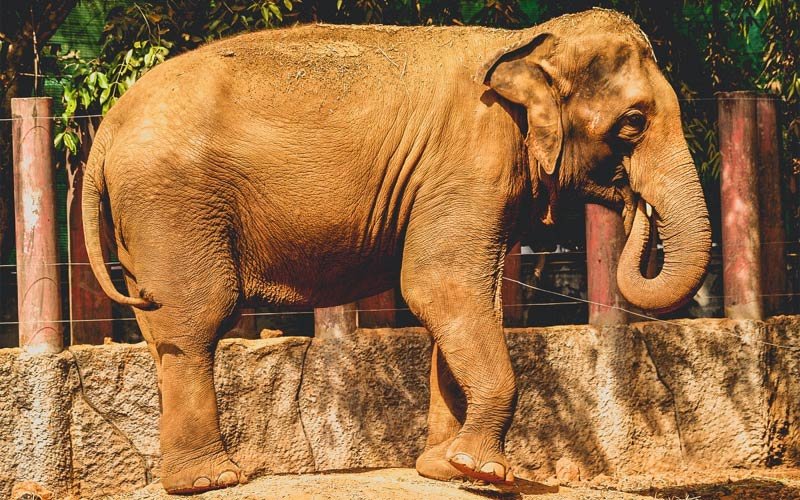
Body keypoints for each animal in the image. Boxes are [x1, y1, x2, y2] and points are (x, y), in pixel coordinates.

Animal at [82, 8, 711, 494]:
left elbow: (465, 298)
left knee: (160, 329)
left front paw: (445, 469)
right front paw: (486, 472)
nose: (636, 205)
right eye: (633, 122)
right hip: (173, 202)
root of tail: (106, 128)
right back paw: (210, 481)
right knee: (195, 319)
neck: (526, 41)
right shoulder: (471, 157)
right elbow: (440, 284)